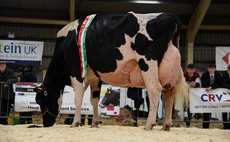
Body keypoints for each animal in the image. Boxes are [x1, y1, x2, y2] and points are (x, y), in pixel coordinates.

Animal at [33, 11, 189, 131]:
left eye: (39, 100)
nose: (46, 124)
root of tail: (168, 15)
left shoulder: (76, 71)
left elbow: (78, 98)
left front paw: (75, 123)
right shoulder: (95, 77)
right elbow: (94, 100)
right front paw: (95, 123)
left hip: (148, 63)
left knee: (155, 90)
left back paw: (149, 124)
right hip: (171, 72)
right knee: (169, 94)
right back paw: (166, 125)